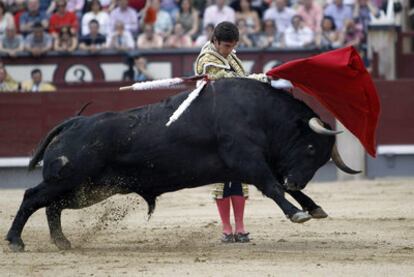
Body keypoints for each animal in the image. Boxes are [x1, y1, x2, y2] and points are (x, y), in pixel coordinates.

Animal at [4, 77, 358, 250]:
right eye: (310, 147)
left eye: (322, 158)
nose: (296, 179)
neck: (260, 113)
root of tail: (75, 123)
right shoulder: (249, 161)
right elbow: (273, 187)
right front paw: (297, 213)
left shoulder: (259, 165)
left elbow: (282, 187)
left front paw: (313, 207)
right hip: (70, 179)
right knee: (33, 197)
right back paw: (15, 241)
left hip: (89, 189)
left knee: (53, 206)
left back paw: (62, 242)